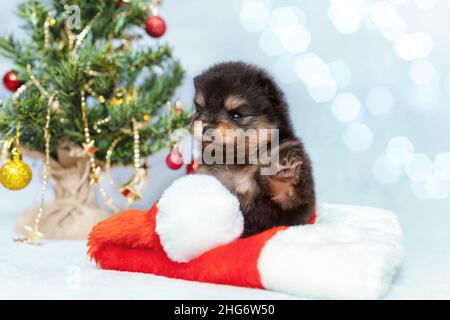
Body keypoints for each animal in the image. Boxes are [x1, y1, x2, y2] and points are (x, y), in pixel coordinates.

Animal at [192, 62, 314, 238]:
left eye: (236, 115)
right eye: (200, 109)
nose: (206, 128)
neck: (239, 160)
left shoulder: (289, 203)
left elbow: (286, 193)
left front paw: (284, 171)